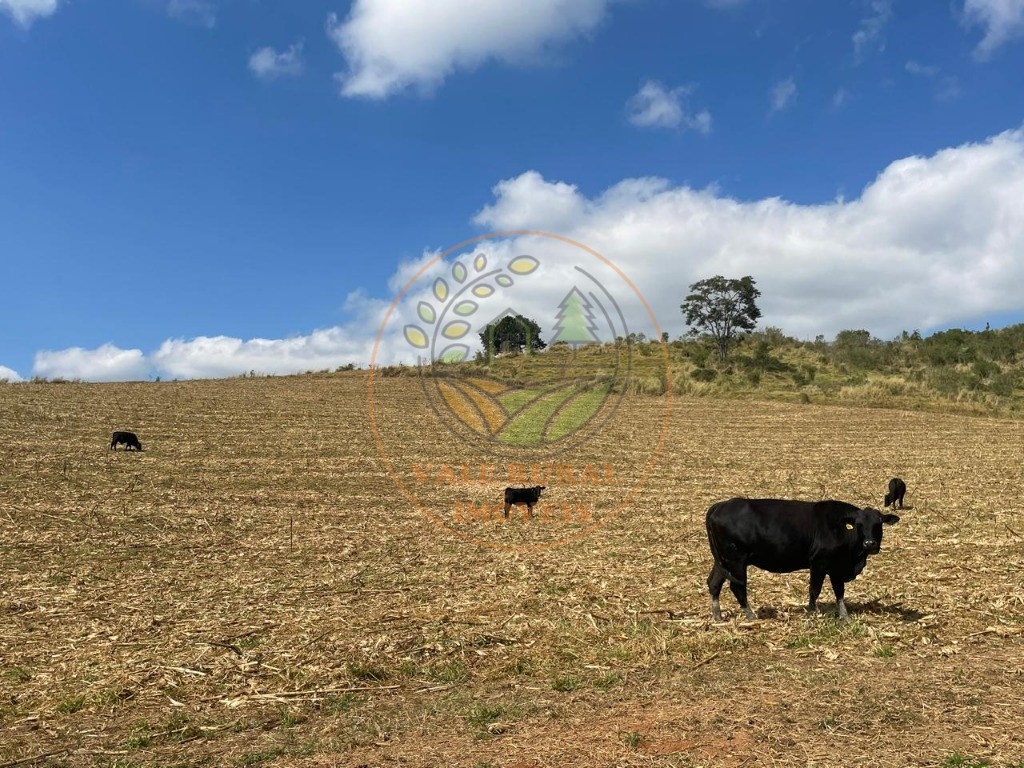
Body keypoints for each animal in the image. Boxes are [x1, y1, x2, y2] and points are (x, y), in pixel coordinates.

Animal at [704, 501, 897, 622]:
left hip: (723, 561)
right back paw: (751, 616)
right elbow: (814, 589)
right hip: (736, 560)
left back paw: (718, 616)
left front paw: (844, 616)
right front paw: (812, 613)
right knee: (737, 587)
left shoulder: (836, 567)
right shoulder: (819, 561)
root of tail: (721, 505)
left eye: (879, 523)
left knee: (714, 583)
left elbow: (839, 592)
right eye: (858, 524)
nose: (870, 544)